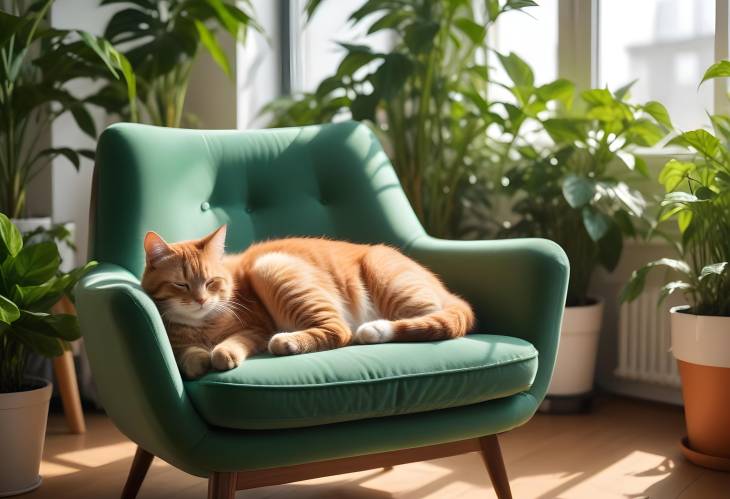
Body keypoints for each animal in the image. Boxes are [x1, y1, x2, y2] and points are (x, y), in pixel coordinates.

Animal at [140, 227, 474, 378]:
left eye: (211, 282)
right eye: (182, 285)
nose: (200, 300)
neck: (202, 326)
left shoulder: (256, 329)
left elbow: (231, 343)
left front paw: (221, 354)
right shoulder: (179, 342)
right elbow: (187, 354)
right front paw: (197, 359)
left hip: (272, 267)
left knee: (344, 331)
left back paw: (290, 341)